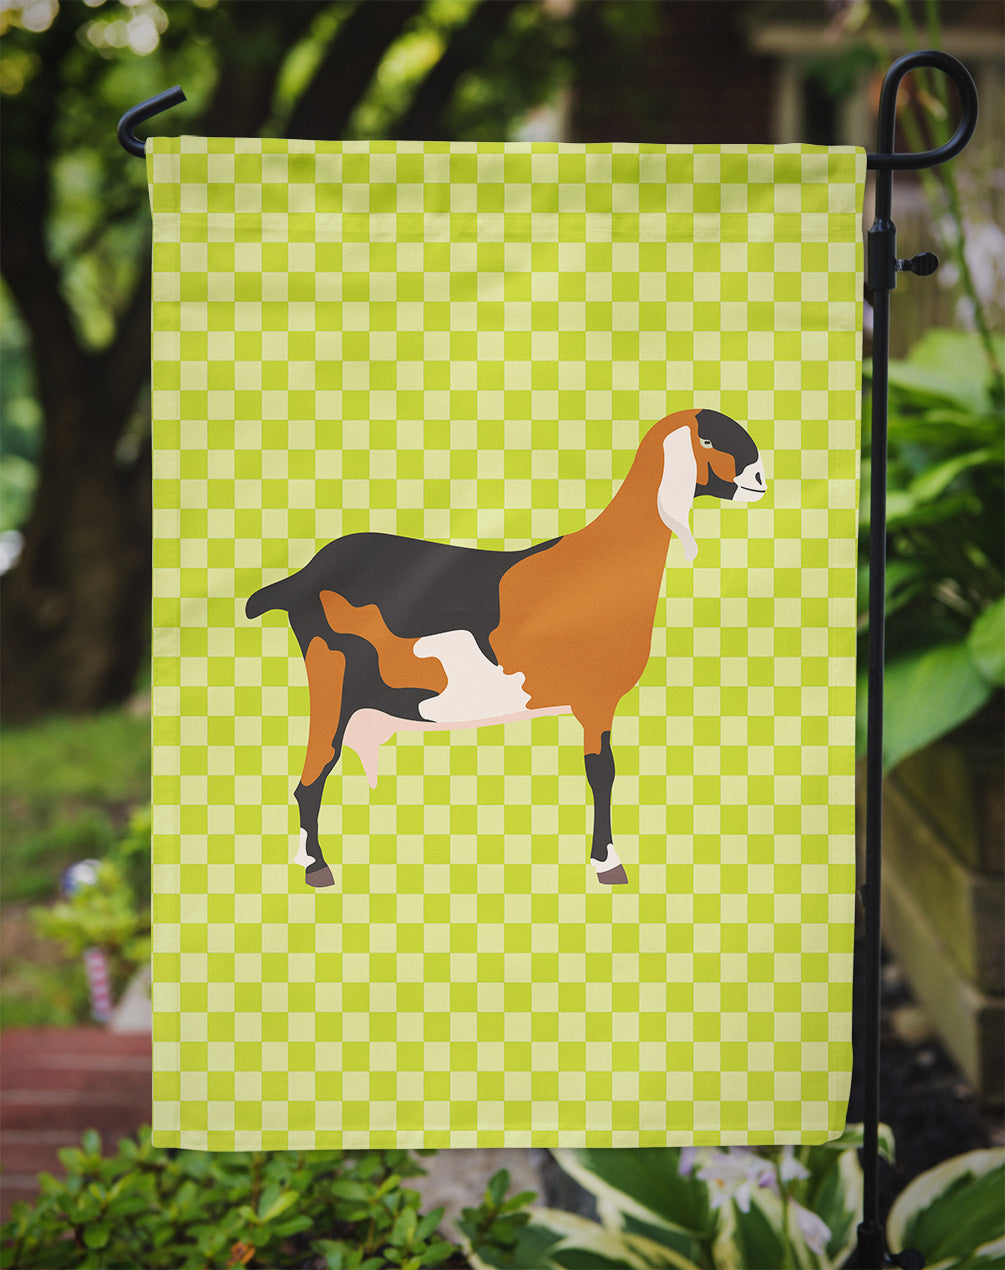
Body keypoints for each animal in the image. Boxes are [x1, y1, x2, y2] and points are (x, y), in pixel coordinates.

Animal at [246, 408, 766, 890]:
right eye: (707, 438)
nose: (760, 478)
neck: (602, 561)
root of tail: (305, 574)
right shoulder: (595, 700)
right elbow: (603, 772)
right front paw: (608, 864)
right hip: (331, 680)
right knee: (312, 776)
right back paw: (316, 868)